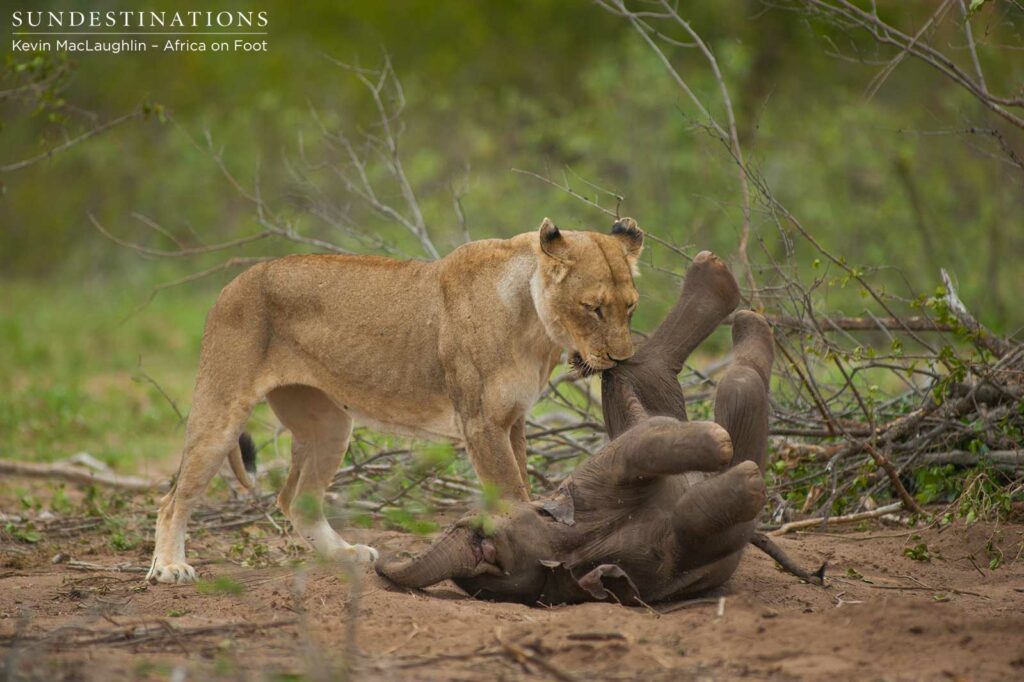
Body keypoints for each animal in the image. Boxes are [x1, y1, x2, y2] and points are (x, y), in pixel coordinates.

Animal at [376, 251, 816, 605]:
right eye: (489, 560)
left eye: (477, 536)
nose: (380, 559)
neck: (572, 542)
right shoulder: (646, 564)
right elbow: (695, 519)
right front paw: (741, 473)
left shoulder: (587, 485)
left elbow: (635, 450)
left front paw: (720, 449)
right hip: (652, 389)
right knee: (710, 376)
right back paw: (737, 307)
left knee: (637, 369)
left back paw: (723, 287)